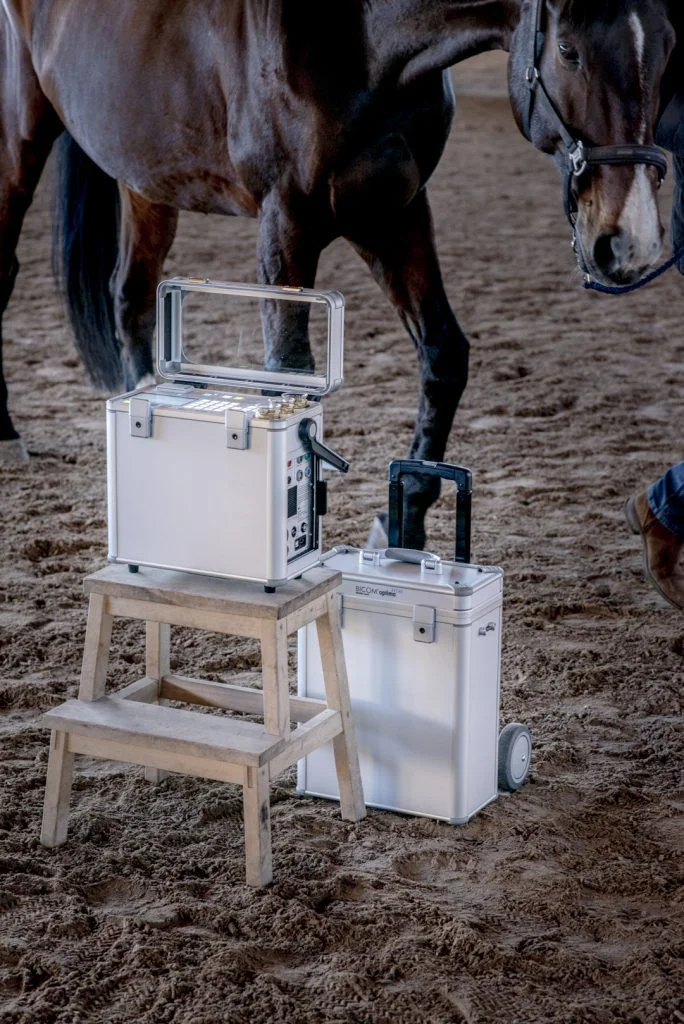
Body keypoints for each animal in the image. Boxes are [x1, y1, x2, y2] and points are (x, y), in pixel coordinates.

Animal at [0, 0, 677, 548]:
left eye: (669, 45)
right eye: (568, 50)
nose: (633, 242)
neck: (360, 35)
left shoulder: (394, 213)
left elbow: (443, 355)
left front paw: (405, 520)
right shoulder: (287, 223)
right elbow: (288, 368)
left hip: (148, 178)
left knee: (132, 295)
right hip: (19, 138)